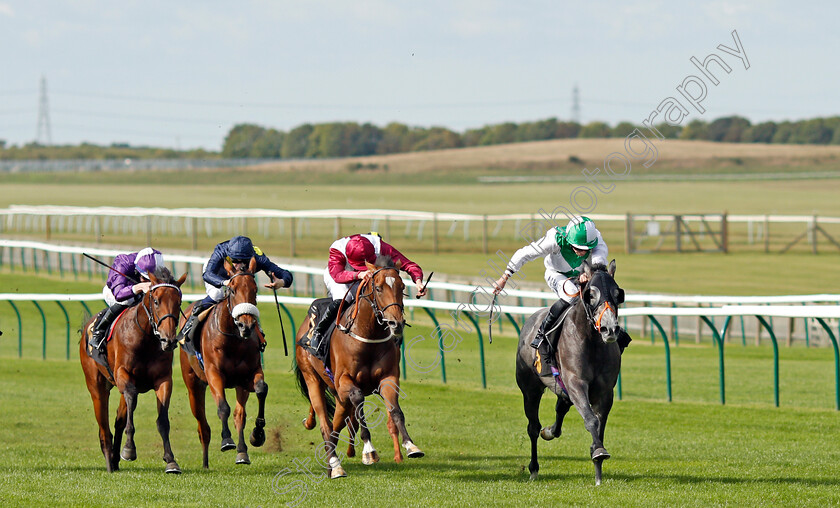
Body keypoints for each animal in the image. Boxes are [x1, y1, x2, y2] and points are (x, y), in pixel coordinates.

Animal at [78, 270, 187, 472]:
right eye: (156, 301)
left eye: (179, 302)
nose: (168, 340)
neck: (146, 339)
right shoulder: (123, 375)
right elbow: (131, 399)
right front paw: (129, 449)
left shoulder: (163, 380)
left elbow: (162, 421)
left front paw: (171, 460)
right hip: (96, 386)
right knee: (104, 427)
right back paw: (109, 462)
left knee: (118, 420)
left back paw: (114, 460)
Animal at [179, 258, 268, 468]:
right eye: (233, 290)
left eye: (255, 290)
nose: (246, 325)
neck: (233, 340)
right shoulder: (214, 374)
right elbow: (223, 407)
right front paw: (227, 440)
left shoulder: (248, 375)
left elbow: (260, 390)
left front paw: (257, 434)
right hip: (193, 383)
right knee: (202, 425)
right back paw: (205, 463)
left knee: (239, 415)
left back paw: (242, 452)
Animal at [296, 256, 426, 478]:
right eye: (379, 288)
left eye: (401, 287)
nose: (396, 323)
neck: (368, 336)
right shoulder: (344, 381)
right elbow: (358, 403)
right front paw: (369, 450)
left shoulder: (388, 378)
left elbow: (395, 410)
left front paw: (411, 446)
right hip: (313, 378)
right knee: (325, 424)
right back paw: (335, 464)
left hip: (339, 396)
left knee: (335, 426)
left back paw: (333, 463)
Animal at [512, 260, 624, 486]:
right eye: (591, 294)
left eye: (618, 294)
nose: (609, 329)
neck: (591, 341)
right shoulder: (576, 382)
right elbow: (591, 420)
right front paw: (598, 452)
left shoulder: (605, 391)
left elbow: (599, 425)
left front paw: (598, 470)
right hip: (530, 389)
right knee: (533, 427)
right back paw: (534, 468)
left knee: (560, 407)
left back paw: (549, 432)